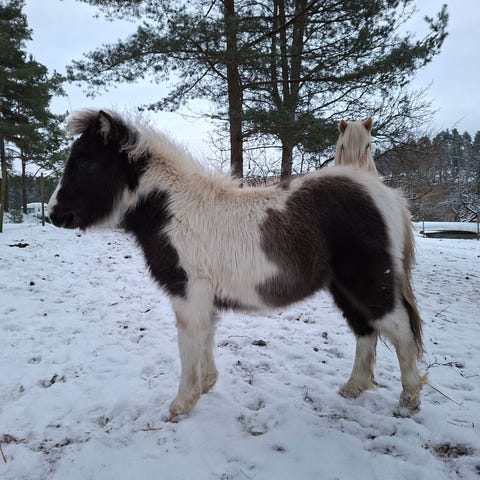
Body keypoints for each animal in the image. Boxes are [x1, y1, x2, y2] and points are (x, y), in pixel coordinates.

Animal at [48, 110, 426, 420]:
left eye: (85, 163)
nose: (54, 214)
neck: (172, 210)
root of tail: (386, 194)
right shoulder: (203, 299)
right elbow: (205, 338)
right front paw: (207, 384)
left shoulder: (187, 295)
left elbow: (188, 346)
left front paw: (182, 404)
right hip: (344, 287)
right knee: (366, 330)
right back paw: (353, 388)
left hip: (367, 282)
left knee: (400, 331)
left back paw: (409, 400)